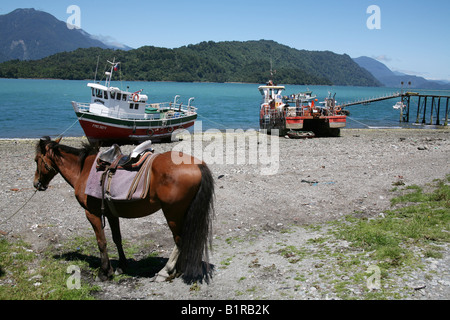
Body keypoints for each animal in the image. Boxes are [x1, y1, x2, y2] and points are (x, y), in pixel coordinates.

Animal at [33, 136, 214, 284]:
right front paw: (121, 266)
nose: (36, 184)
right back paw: (178, 270)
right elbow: (117, 238)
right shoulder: (111, 214)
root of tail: (197, 164)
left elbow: (101, 242)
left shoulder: (92, 214)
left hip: (172, 214)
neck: (83, 170)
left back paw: (165, 272)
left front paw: (105, 272)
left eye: (36, 160)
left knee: (179, 240)